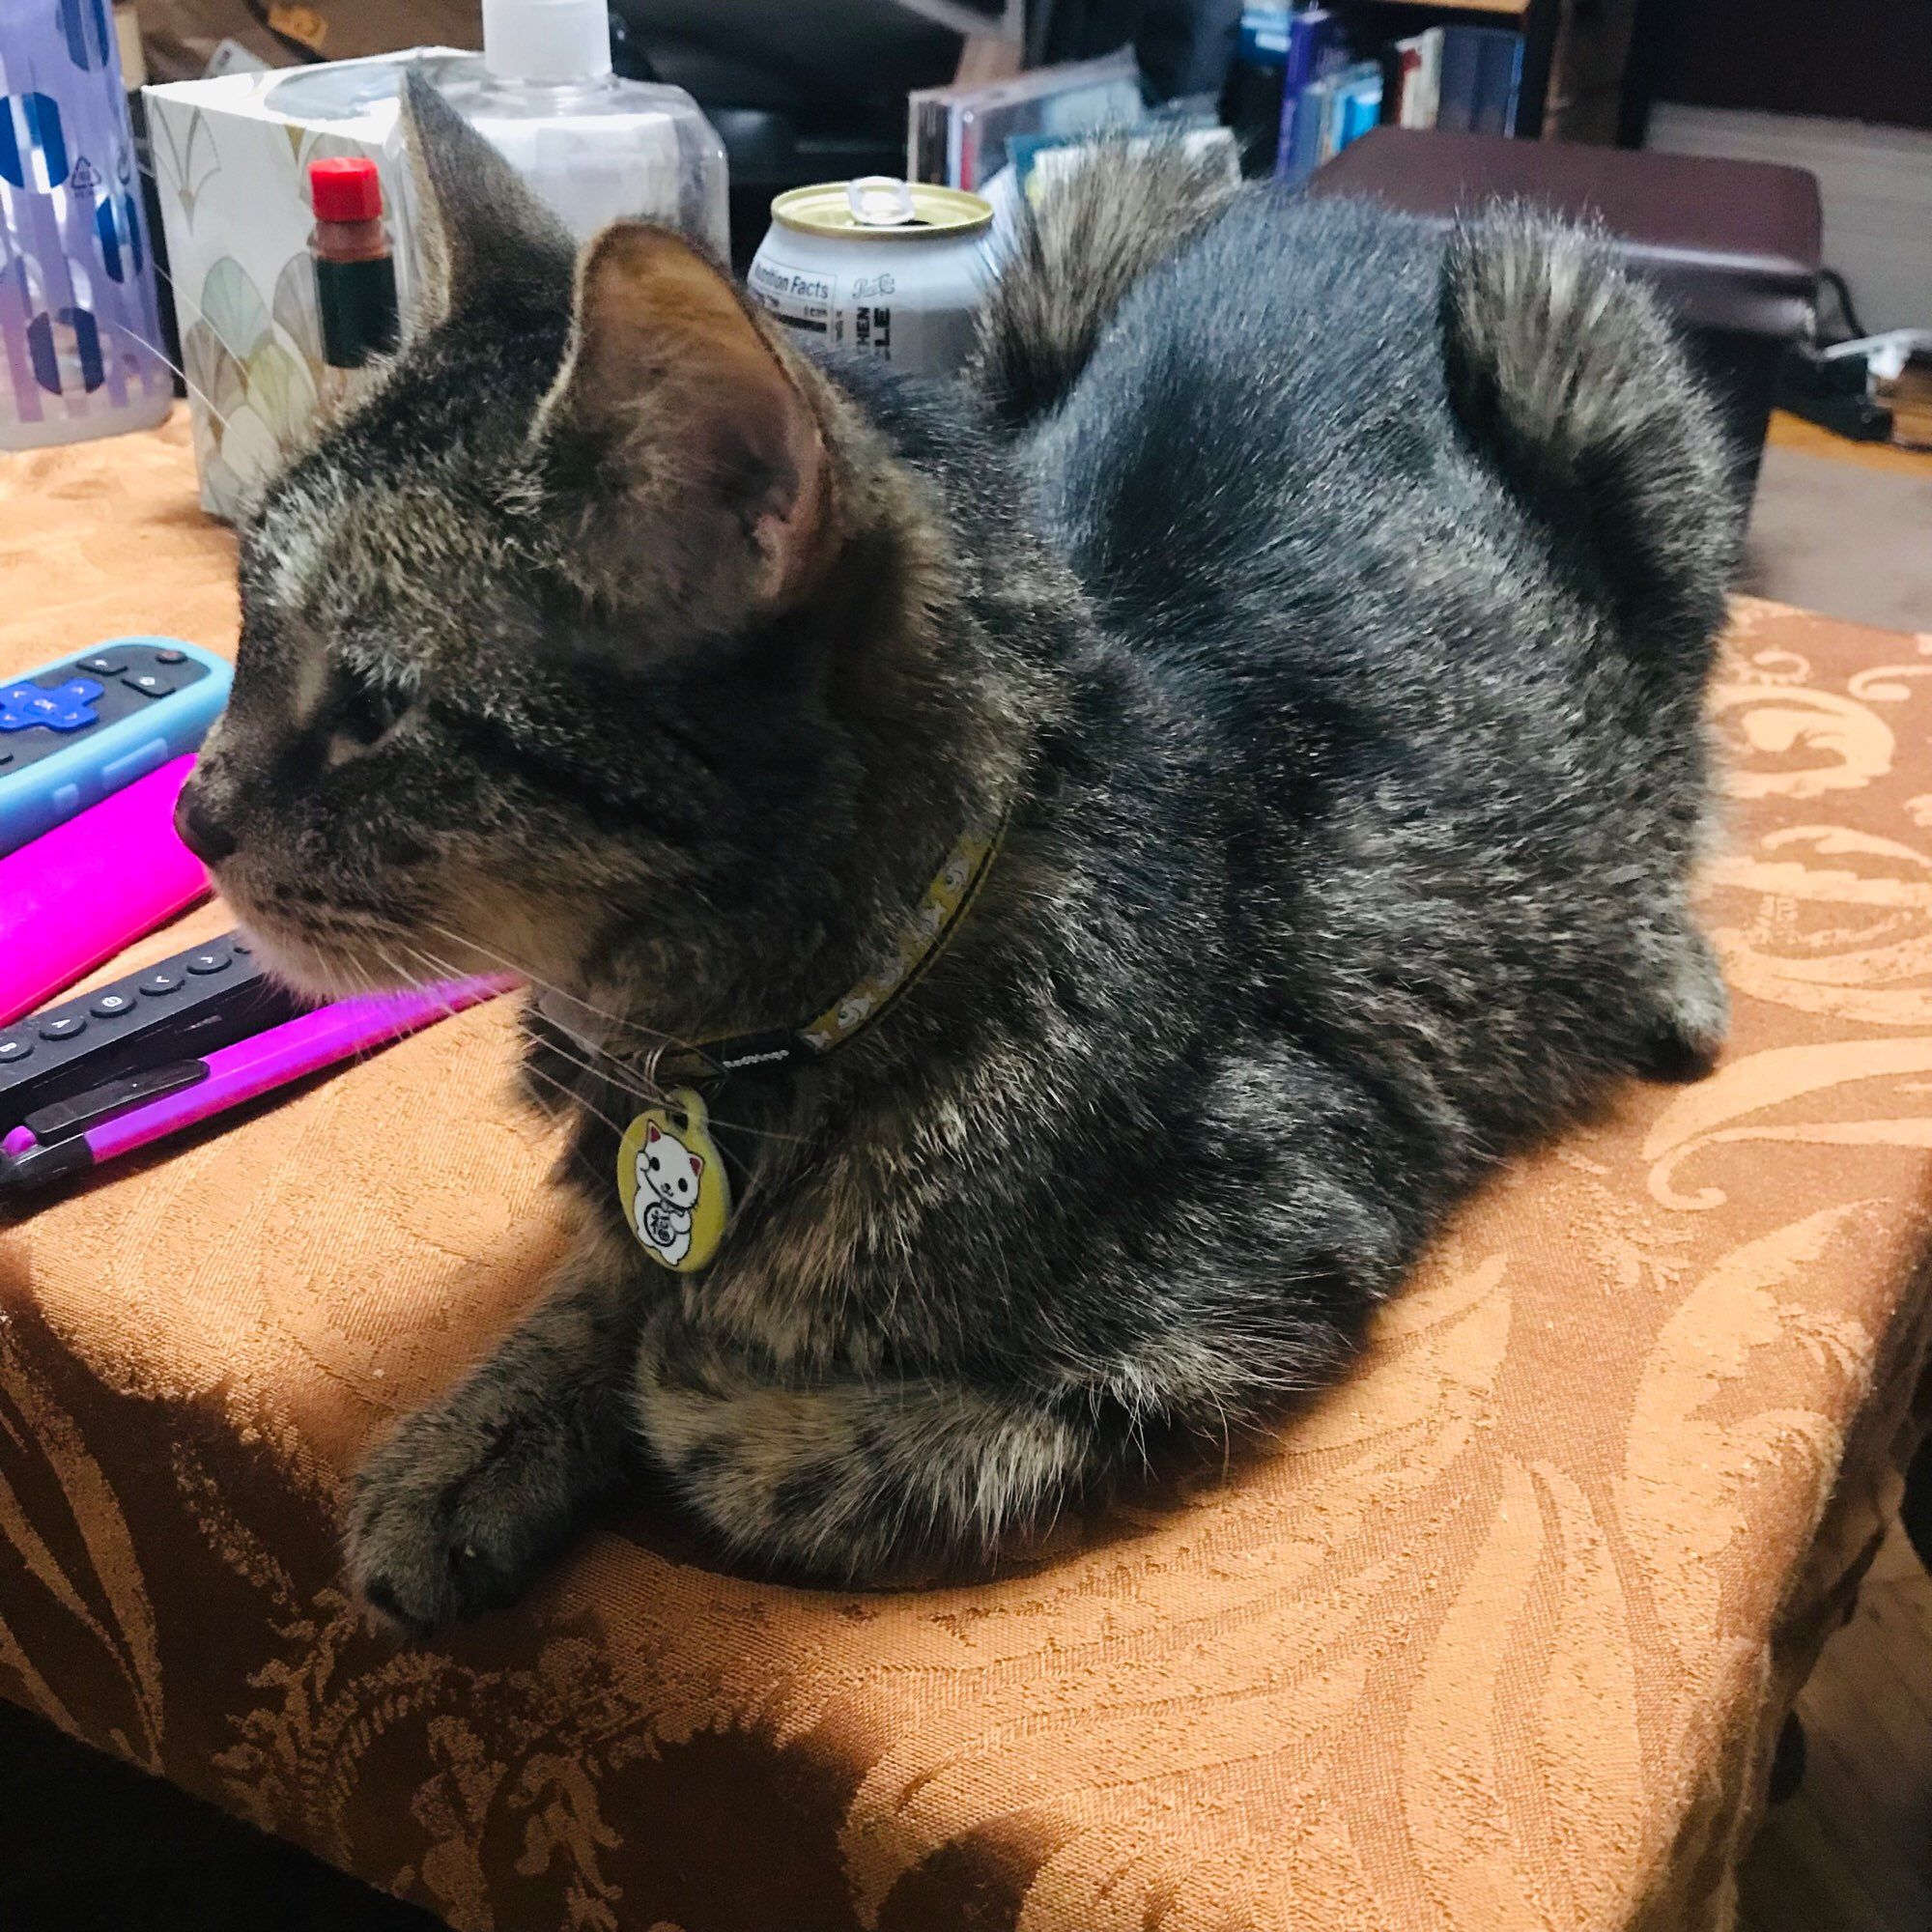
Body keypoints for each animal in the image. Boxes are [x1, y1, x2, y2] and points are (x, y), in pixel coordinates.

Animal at [178, 79, 1739, 1631]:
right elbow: (595, 1278)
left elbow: (823, 1450)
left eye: (375, 707)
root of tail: (1349, 212)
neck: (726, 1036)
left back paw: (1667, 966)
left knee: (1680, 758)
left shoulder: (1278, 1247)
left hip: (1584, 341)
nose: (193, 815)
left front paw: (691, 1382)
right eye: (243, 623)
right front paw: (472, 1437)